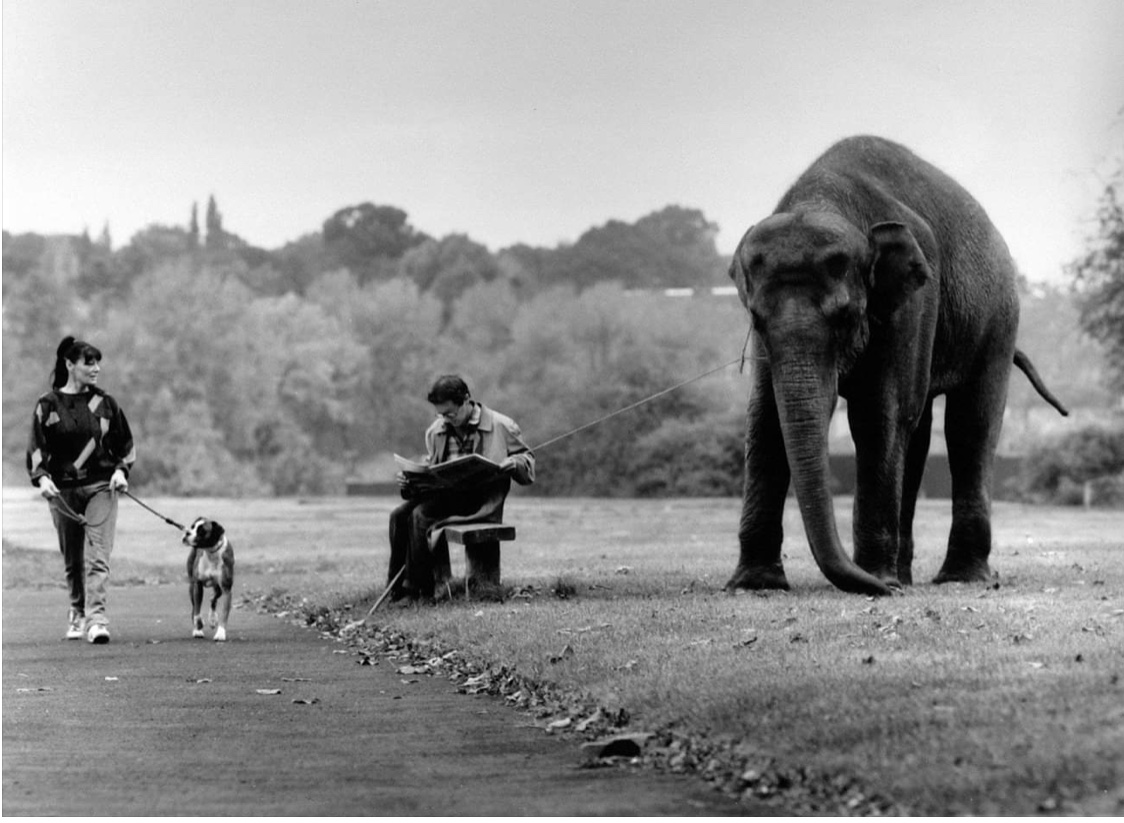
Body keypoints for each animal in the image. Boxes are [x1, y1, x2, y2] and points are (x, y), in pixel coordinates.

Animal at [182, 514, 234, 643]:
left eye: (201, 531)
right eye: (192, 527)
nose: (187, 532)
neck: (211, 552)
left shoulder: (226, 589)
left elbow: (224, 613)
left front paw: (220, 633)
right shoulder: (197, 585)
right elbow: (197, 610)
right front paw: (198, 625)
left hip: (219, 588)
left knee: (213, 598)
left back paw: (212, 619)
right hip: (191, 586)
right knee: (194, 608)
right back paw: (197, 629)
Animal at [723, 136, 1065, 598]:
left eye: (846, 316)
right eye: (756, 319)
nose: (881, 589)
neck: (824, 200)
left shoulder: (914, 301)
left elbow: (877, 413)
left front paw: (878, 582)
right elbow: (764, 418)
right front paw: (754, 585)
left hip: (999, 317)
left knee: (968, 425)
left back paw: (955, 577)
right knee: (919, 430)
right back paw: (905, 576)